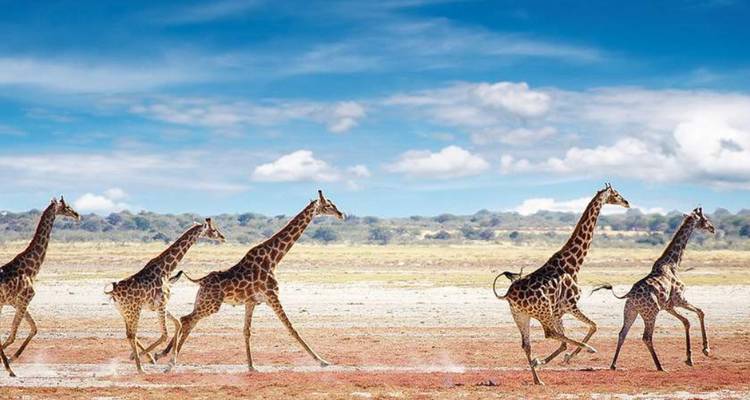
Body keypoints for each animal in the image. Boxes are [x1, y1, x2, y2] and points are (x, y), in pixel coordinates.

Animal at [0, 197, 80, 377]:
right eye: (66, 206)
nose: (77, 215)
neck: (31, 269)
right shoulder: (25, 299)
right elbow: (13, 335)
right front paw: (9, 366)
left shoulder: (18, 302)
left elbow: (33, 328)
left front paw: (10, 358)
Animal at [105, 218, 225, 373]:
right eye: (214, 230)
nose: (222, 237)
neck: (166, 269)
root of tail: (113, 292)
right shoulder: (161, 304)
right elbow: (165, 334)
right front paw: (151, 358)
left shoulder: (160, 305)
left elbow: (178, 323)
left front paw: (165, 360)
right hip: (133, 310)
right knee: (132, 334)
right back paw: (140, 367)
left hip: (124, 312)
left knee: (130, 334)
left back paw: (143, 359)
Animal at [163, 190, 345, 372]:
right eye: (328, 205)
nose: (341, 214)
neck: (273, 258)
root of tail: (200, 280)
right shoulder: (272, 296)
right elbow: (291, 328)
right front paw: (322, 361)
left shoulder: (251, 302)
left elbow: (246, 331)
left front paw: (251, 366)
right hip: (211, 305)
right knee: (186, 320)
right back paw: (170, 361)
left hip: (202, 301)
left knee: (189, 321)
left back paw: (165, 356)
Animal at [493, 184, 630, 385]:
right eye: (616, 194)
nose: (627, 202)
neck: (573, 265)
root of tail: (508, 295)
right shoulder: (570, 305)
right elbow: (592, 326)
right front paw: (569, 356)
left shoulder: (560, 311)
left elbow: (570, 339)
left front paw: (550, 360)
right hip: (543, 312)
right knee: (549, 333)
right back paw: (587, 349)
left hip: (521, 316)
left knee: (527, 344)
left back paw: (537, 379)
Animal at [593, 207, 715, 371]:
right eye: (704, 219)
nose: (712, 228)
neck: (673, 264)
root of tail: (629, 295)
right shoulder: (679, 299)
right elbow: (700, 312)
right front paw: (704, 350)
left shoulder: (669, 306)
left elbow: (686, 321)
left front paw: (690, 358)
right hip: (651, 313)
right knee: (646, 337)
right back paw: (660, 366)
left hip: (631, 311)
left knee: (622, 333)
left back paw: (613, 365)